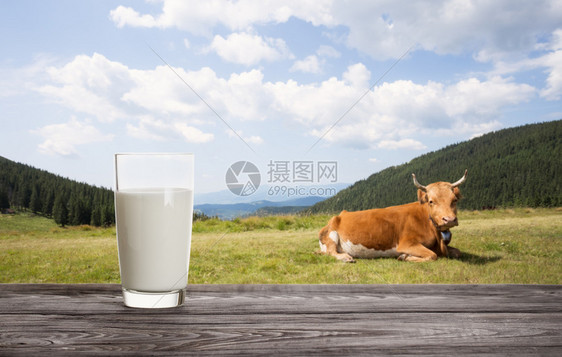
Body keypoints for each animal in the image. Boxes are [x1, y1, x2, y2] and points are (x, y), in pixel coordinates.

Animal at [318, 170, 466, 262]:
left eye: (454, 200)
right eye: (431, 201)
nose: (449, 220)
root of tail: (339, 215)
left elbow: (458, 252)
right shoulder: (407, 243)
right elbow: (432, 255)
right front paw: (404, 257)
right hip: (331, 235)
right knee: (331, 252)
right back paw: (346, 258)